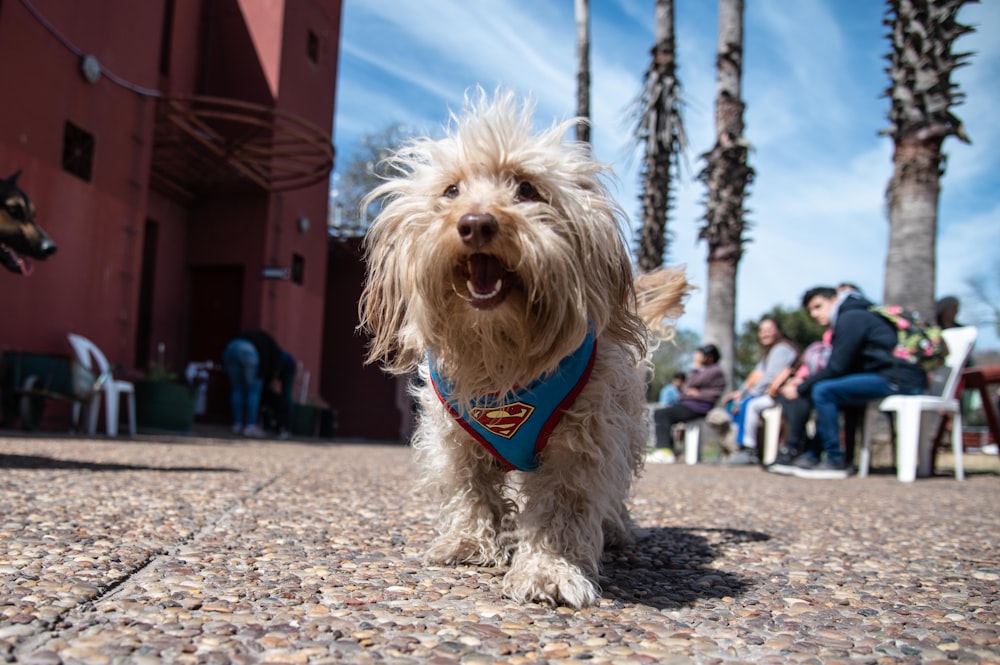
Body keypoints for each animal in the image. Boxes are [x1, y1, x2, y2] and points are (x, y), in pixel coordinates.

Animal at [360, 89, 688, 608]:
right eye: (451, 191)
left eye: (527, 189)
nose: (476, 223)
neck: (501, 355)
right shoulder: (455, 439)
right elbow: (471, 490)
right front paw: (470, 542)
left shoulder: (583, 441)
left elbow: (562, 509)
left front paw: (549, 569)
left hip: (627, 430)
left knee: (615, 491)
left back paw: (617, 529)